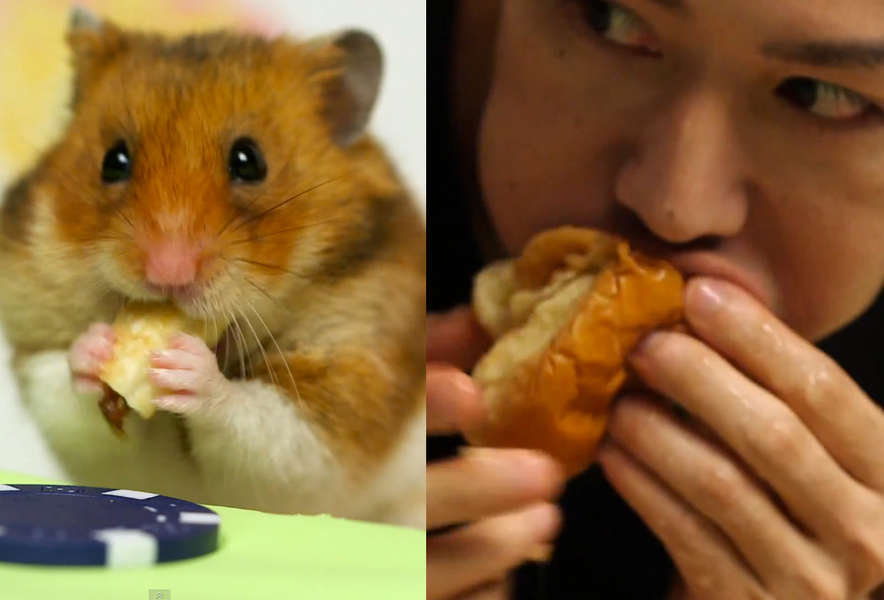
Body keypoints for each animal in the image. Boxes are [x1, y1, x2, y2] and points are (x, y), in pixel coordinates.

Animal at [0, 7, 426, 528]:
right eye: (113, 160)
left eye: (250, 161)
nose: (167, 270)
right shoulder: (46, 368)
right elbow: (65, 394)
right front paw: (95, 349)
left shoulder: (347, 379)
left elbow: (265, 422)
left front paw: (188, 367)